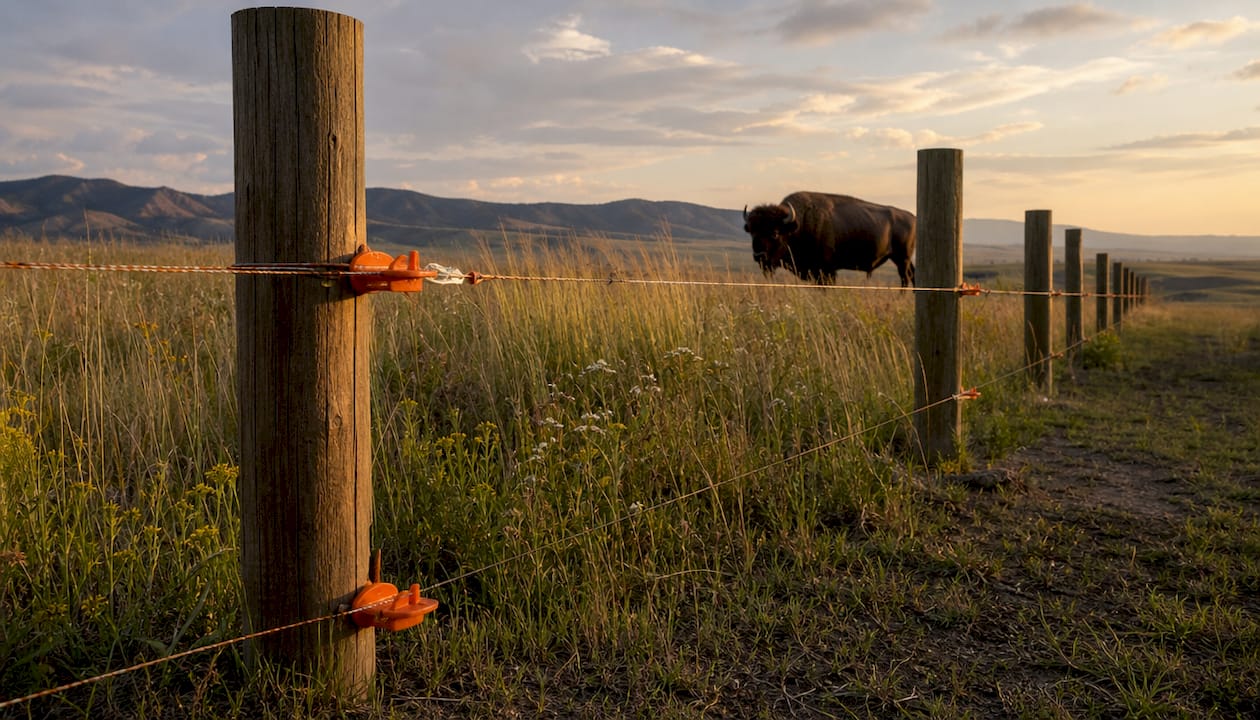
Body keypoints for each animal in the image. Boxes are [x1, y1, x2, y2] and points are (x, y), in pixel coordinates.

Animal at [743, 191, 916, 287]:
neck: (799, 224)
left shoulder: (826, 270)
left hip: (902, 258)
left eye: (775, 233)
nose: (758, 256)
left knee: (905, 277)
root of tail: (912, 217)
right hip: (902, 259)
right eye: (752, 232)